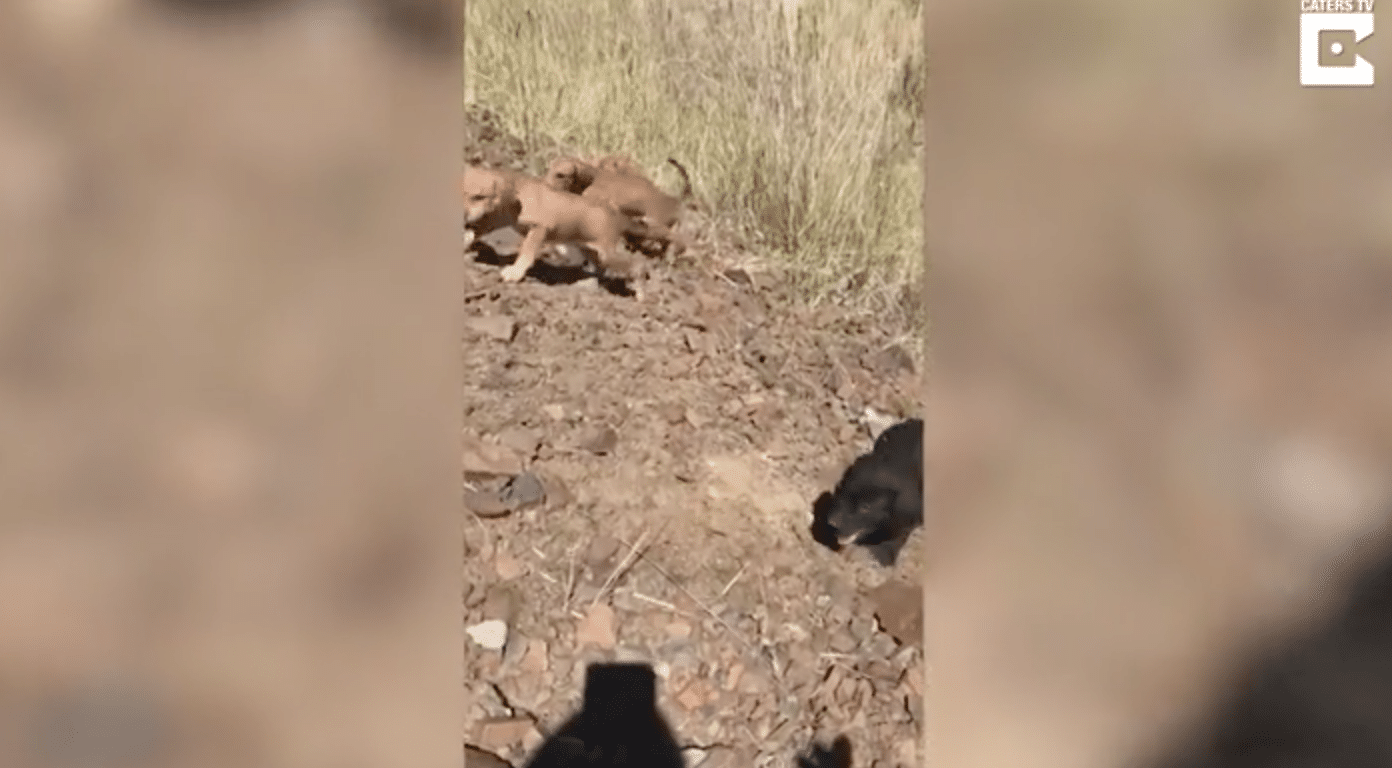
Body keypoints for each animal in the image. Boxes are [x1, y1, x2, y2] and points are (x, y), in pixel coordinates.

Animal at [467, 164, 640, 285]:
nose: (464, 214)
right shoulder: (496, 221)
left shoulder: (540, 229)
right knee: (602, 269)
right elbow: (476, 231)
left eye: (479, 197)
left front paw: (515, 272)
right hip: (592, 252)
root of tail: (615, 216)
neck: (520, 193)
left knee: (635, 264)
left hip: (608, 254)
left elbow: (527, 253)